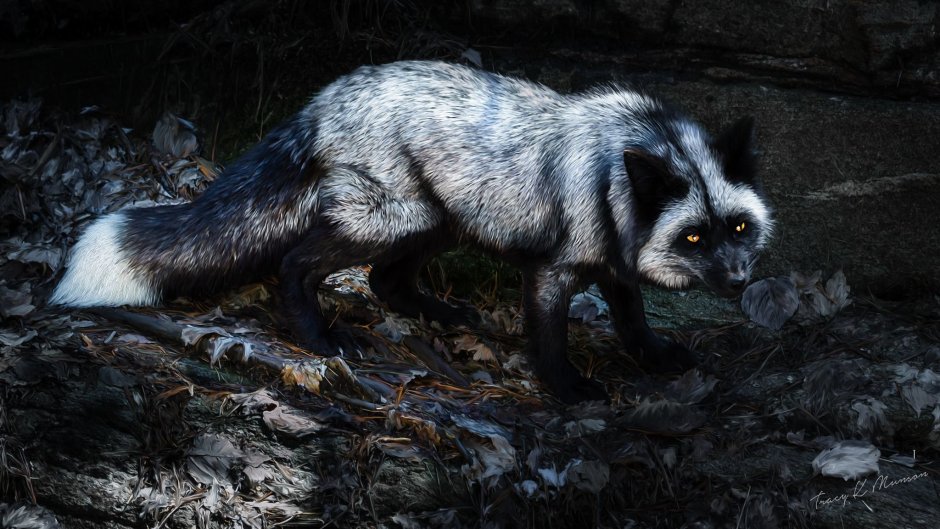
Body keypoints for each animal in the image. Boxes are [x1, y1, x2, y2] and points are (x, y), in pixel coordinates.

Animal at [51, 60, 773, 403]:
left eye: (738, 226)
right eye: (693, 237)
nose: (740, 280)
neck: (615, 173)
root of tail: (320, 101)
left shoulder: (614, 263)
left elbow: (634, 320)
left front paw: (655, 357)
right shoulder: (555, 269)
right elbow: (550, 340)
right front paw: (568, 390)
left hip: (441, 221)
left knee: (387, 281)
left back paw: (443, 315)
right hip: (393, 217)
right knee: (298, 263)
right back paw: (320, 337)